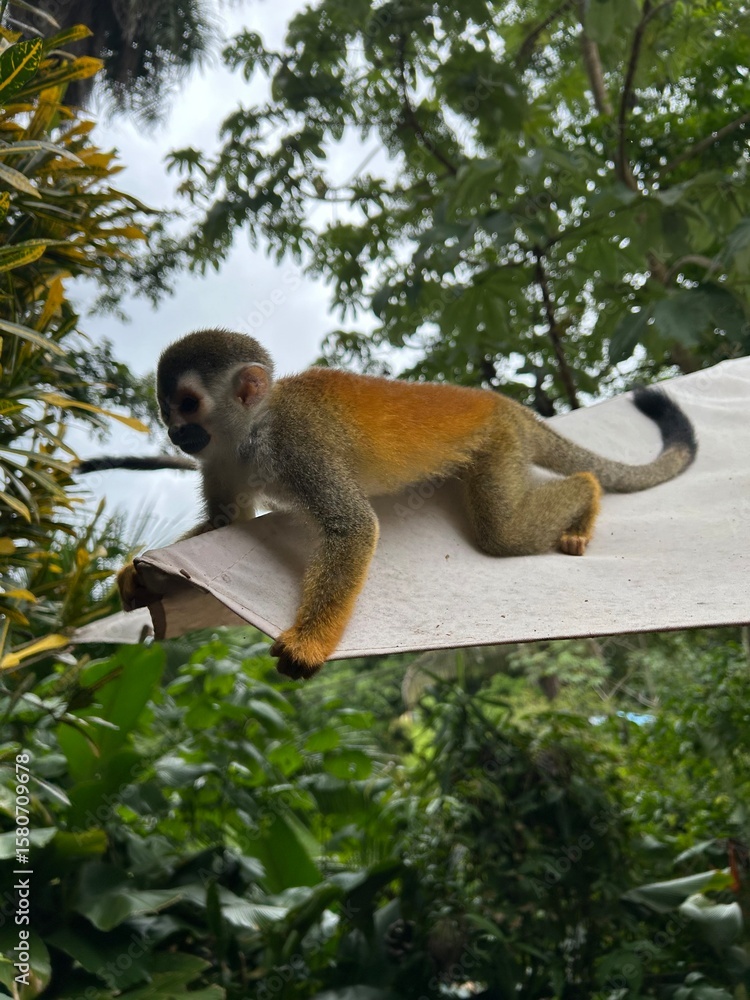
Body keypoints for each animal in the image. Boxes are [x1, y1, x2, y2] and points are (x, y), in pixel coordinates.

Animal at [116, 328, 697, 681]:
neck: (250, 431)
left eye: (188, 403)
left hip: (499, 442)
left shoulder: (296, 443)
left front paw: (310, 642)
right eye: (167, 405)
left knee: (503, 531)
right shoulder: (220, 458)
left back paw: (589, 494)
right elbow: (226, 520)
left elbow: (351, 525)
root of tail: (502, 404)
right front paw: (141, 574)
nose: (175, 431)